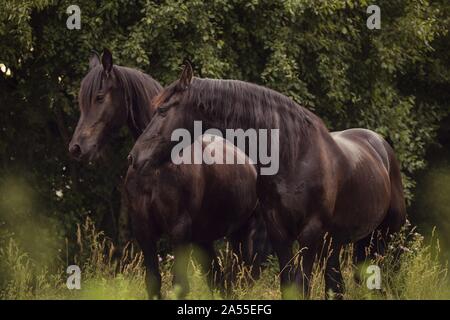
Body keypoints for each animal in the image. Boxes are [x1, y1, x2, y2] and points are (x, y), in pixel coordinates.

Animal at [68, 49, 268, 298]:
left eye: (99, 97)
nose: (77, 148)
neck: (155, 167)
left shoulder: (179, 231)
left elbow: (180, 286)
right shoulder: (144, 231)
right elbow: (153, 282)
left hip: (248, 238)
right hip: (206, 240)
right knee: (220, 281)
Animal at [130, 62, 408, 298]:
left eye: (163, 110)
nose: (134, 157)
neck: (294, 155)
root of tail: (380, 145)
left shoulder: (310, 233)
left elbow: (303, 287)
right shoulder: (279, 232)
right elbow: (289, 286)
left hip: (387, 238)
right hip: (339, 242)